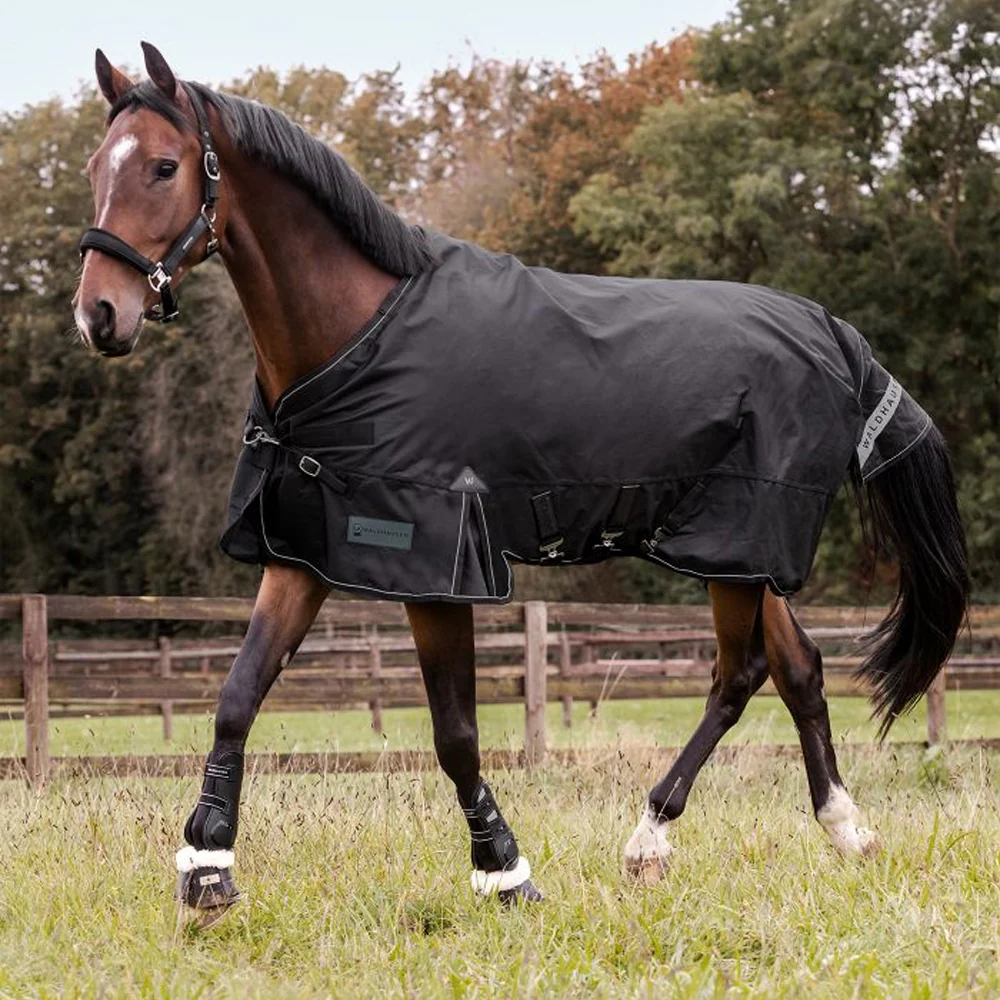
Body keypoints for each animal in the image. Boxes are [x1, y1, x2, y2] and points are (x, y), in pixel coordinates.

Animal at [74, 43, 970, 921]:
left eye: (162, 167)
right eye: (93, 166)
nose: (99, 316)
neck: (357, 334)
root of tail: (833, 332)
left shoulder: (436, 564)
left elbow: (455, 734)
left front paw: (505, 872)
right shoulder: (304, 551)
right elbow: (238, 695)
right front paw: (207, 869)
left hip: (740, 540)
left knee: (737, 675)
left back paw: (650, 838)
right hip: (742, 552)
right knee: (798, 669)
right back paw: (845, 829)